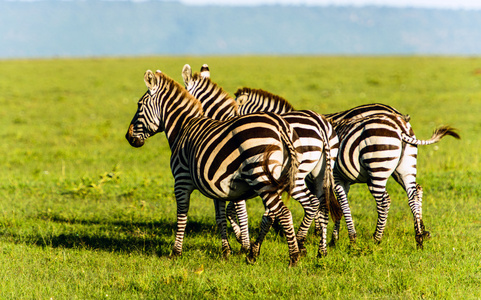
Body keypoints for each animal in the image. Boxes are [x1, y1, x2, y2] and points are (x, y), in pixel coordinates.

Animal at [124, 69, 306, 264]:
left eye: (139, 105)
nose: (128, 137)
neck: (182, 127)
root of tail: (280, 126)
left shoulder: (181, 180)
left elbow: (182, 216)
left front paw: (176, 252)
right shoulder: (216, 187)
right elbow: (220, 217)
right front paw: (227, 251)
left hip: (261, 177)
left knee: (284, 213)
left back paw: (293, 257)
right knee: (272, 214)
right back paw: (253, 254)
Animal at [182, 64, 344, 256]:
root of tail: (321, 125)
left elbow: (233, 209)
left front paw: (242, 240)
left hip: (298, 174)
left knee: (314, 203)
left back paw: (301, 242)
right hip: (321, 170)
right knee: (322, 203)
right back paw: (321, 250)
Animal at [234, 87, 460, 251]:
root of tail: (400, 120)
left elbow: (324, 203)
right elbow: (331, 203)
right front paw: (328, 235)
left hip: (379, 166)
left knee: (386, 200)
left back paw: (378, 238)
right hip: (403, 167)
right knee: (415, 191)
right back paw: (420, 235)